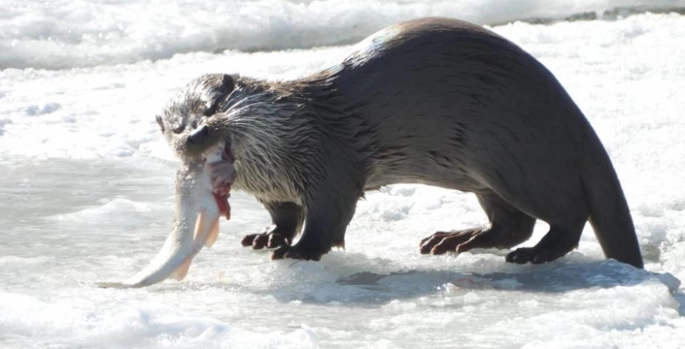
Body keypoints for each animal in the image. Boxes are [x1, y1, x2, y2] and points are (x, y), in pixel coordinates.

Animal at [155, 17, 640, 270]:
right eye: (176, 126)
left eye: (213, 106)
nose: (197, 134)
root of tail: (572, 116)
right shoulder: (274, 190)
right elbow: (286, 215)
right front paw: (266, 236)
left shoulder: (328, 162)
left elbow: (328, 217)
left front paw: (299, 250)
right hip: (488, 173)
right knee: (512, 223)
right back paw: (454, 240)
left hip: (519, 158)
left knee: (567, 215)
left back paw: (533, 254)